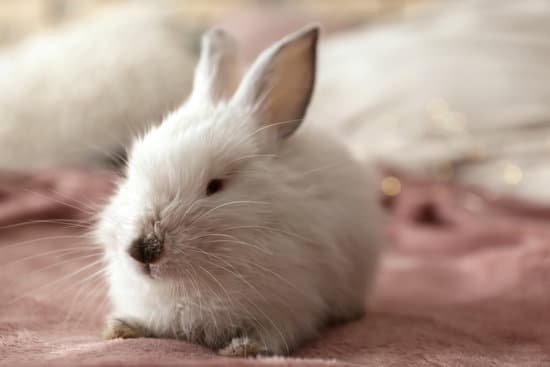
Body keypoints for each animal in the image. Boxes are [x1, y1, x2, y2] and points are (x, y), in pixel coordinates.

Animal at [98, 25, 384, 356]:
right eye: (130, 174)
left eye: (215, 186)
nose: (143, 249)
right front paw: (121, 328)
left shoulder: (290, 307)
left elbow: (275, 335)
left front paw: (243, 348)